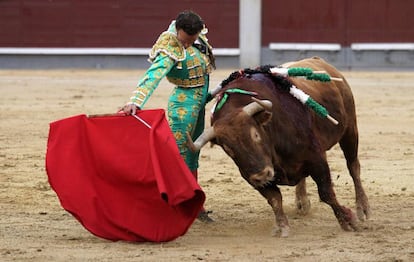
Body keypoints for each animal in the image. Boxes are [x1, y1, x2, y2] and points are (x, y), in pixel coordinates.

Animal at [189, 57, 370, 237]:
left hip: (350, 129)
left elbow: (326, 193)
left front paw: (348, 220)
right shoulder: (250, 176)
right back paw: (302, 203)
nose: (262, 175)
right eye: (228, 149)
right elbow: (275, 199)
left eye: (255, 135)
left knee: (353, 167)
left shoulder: (316, 158)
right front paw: (282, 226)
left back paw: (362, 209)